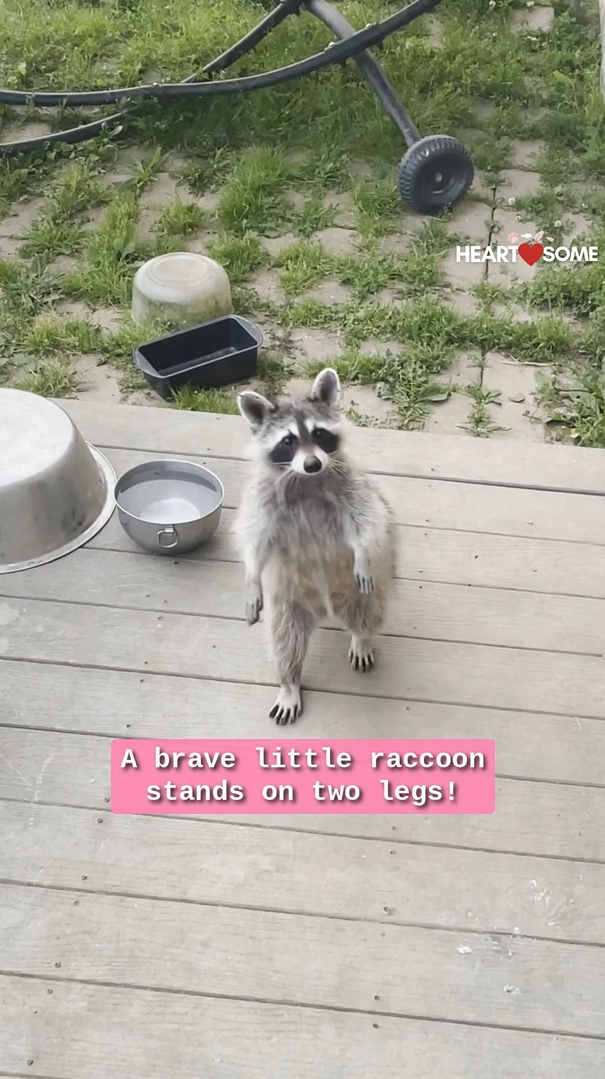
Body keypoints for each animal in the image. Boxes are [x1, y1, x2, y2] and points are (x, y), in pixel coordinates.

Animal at [234, 367, 396, 724]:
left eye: (319, 433)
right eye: (288, 440)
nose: (312, 464)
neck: (305, 479)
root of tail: (327, 609)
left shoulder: (351, 486)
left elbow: (366, 519)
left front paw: (363, 553)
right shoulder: (263, 499)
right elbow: (255, 538)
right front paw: (251, 577)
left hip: (357, 591)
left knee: (369, 611)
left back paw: (362, 637)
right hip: (288, 602)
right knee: (285, 640)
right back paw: (289, 682)